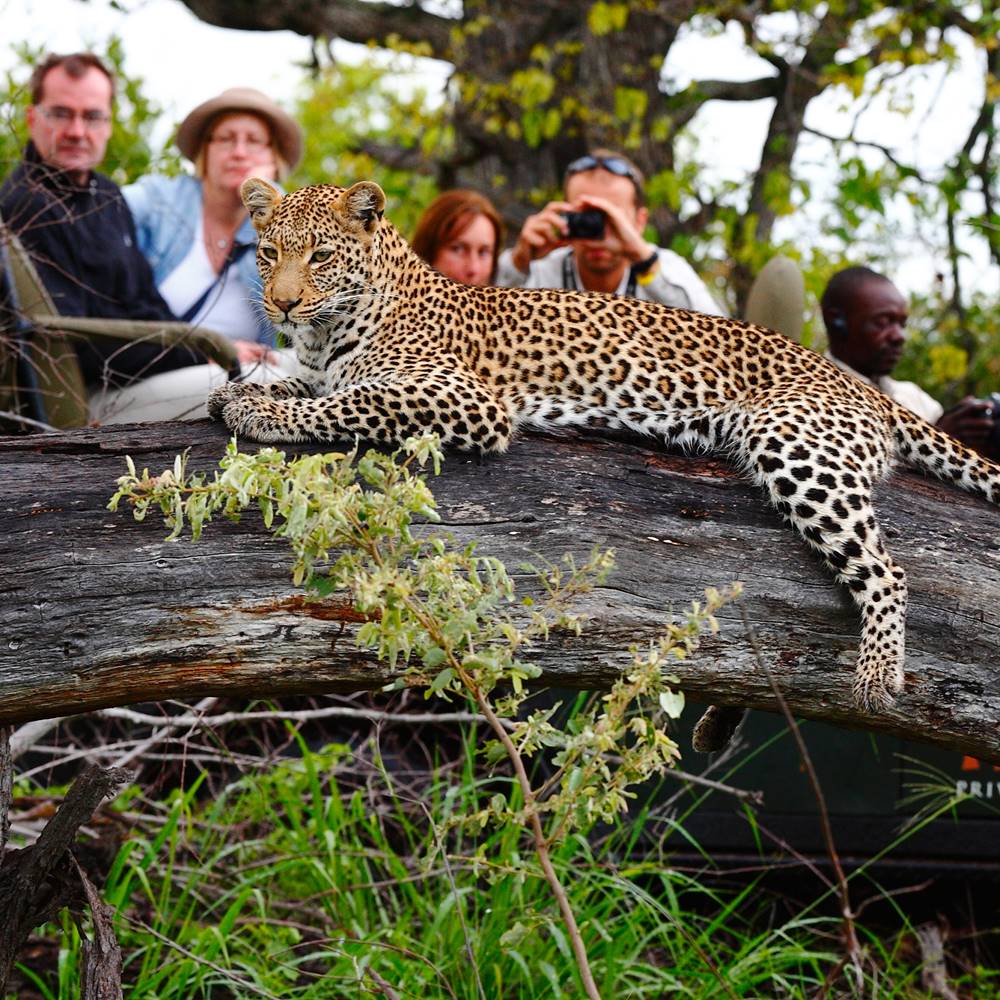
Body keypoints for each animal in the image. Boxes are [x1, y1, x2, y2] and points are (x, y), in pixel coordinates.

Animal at [209, 177, 1000, 722]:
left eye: (321, 256)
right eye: (270, 253)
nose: (281, 304)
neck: (327, 332)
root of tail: (860, 383)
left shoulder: (464, 398)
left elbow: (349, 402)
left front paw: (257, 408)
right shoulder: (322, 367)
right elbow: (309, 387)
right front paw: (238, 391)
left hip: (794, 442)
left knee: (888, 571)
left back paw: (876, 675)